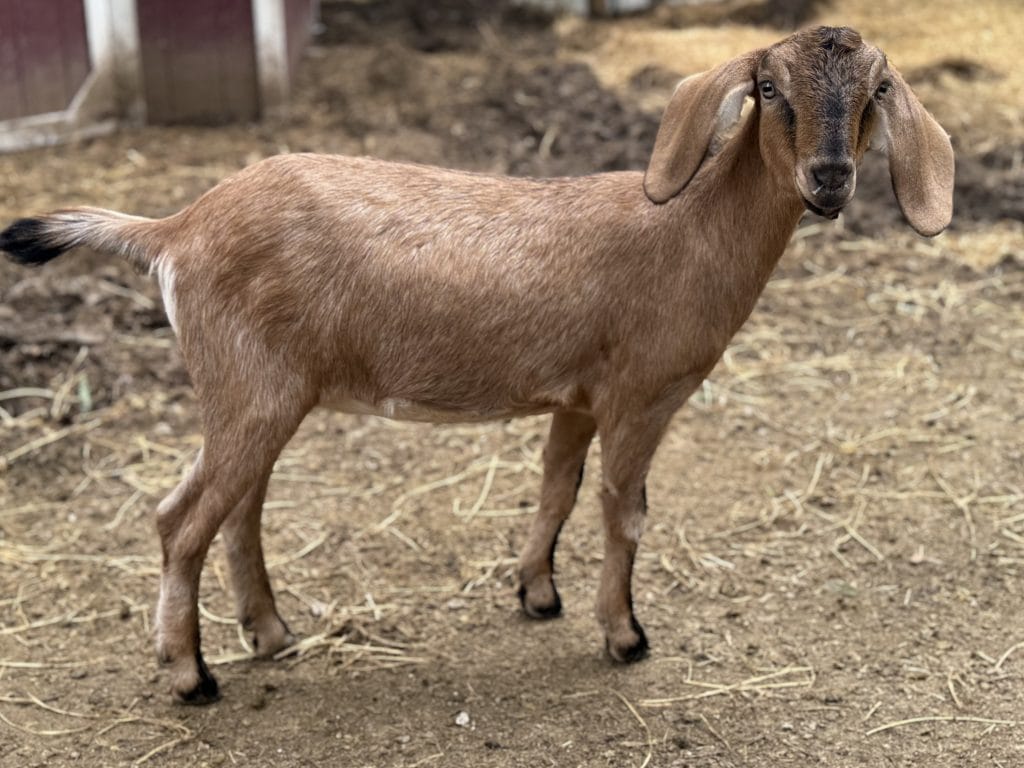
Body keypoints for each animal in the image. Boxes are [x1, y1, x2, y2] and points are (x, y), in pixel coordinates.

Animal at [1, 26, 953, 704]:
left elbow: (557, 489)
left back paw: (270, 633)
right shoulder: (641, 394)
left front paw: (537, 593)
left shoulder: (577, 394)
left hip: (259, 392)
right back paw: (191, 676)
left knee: (237, 510)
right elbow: (625, 512)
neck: (689, 233)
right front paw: (624, 636)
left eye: (876, 91)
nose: (829, 179)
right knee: (180, 520)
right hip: (248, 388)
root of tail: (175, 230)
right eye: (769, 90)